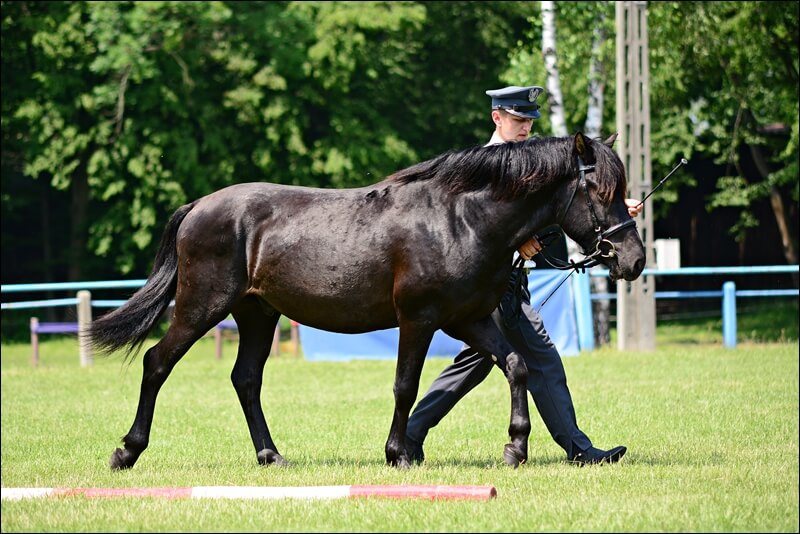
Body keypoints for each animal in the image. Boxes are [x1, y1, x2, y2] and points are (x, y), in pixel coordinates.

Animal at [90, 134, 648, 474]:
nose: (634, 259)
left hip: (258, 314)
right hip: (201, 307)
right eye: (600, 191)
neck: (462, 218)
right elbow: (406, 386)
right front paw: (398, 453)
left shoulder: (468, 320)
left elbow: (515, 365)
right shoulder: (419, 320)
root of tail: (197, 208)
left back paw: (271, 456)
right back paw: (126, 451)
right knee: (157, 363)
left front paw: (515, 447)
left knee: (245, 380)